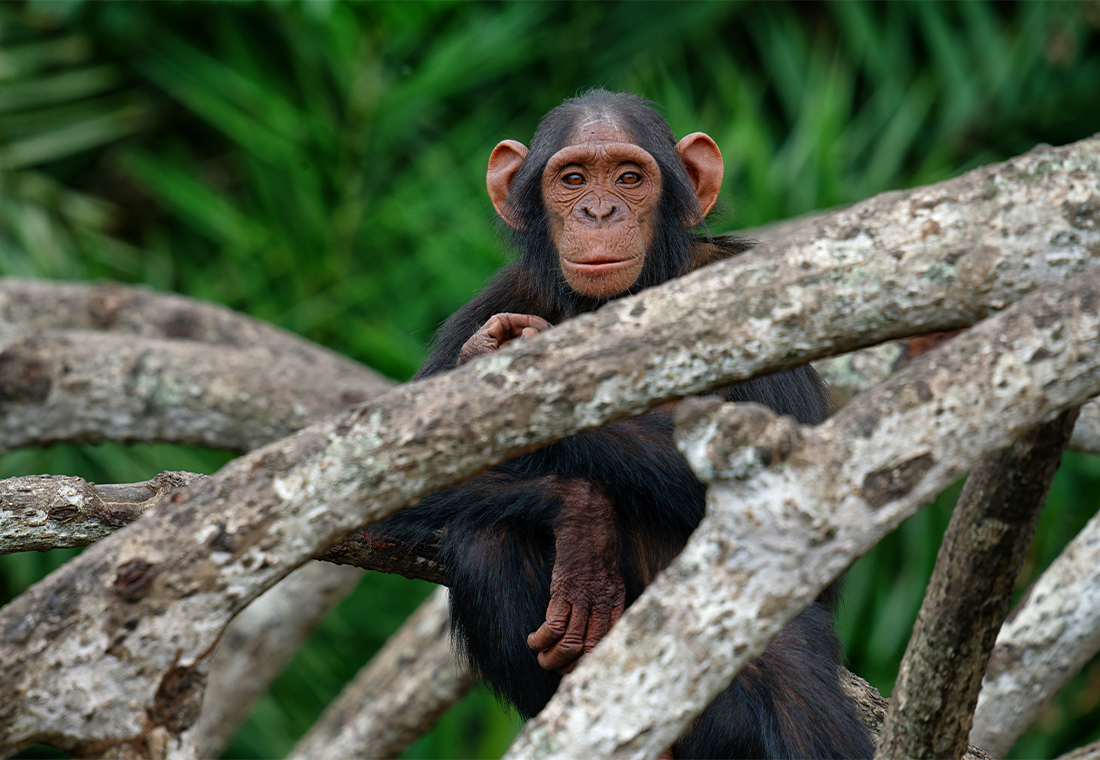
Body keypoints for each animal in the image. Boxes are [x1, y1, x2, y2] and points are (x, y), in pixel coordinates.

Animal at [374, 90, 871, 760]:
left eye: (630, 178)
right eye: (573, 179)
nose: (599, 209)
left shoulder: (750, 283)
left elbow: (799, 466)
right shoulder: (498, 298)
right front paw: (584, 519)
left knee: (790, 668)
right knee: (485, 537)